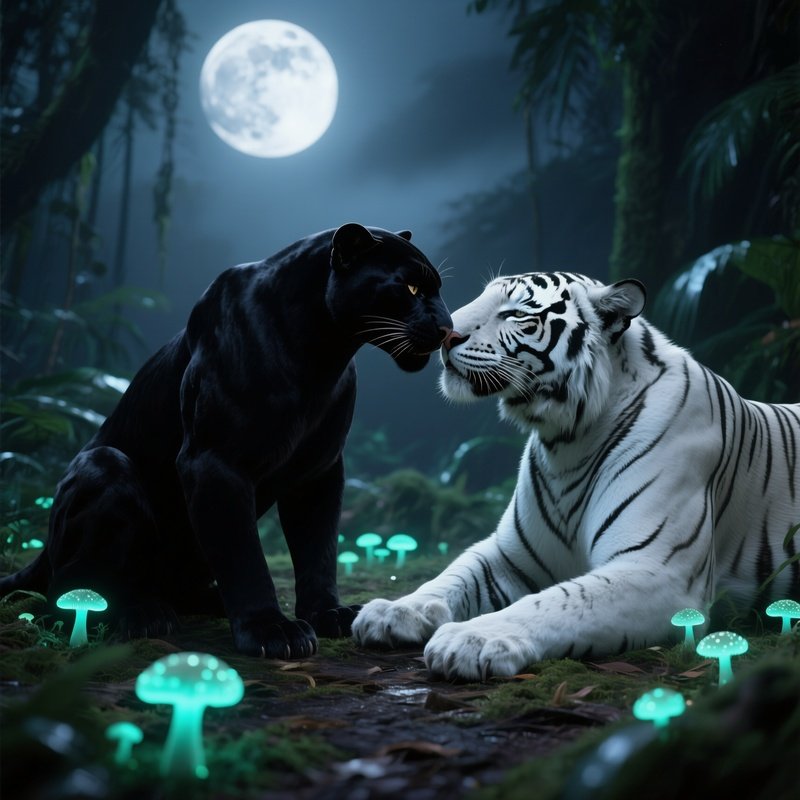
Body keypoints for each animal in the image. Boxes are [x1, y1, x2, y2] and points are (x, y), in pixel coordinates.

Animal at [352, 272, 800, 681]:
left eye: (517, 313)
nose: (443, 335)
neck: (565, 440)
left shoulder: (659, 571)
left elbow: (558, 600)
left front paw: (473, 639)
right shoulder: (508, 554)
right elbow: (451, 577)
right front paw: (392, 610)